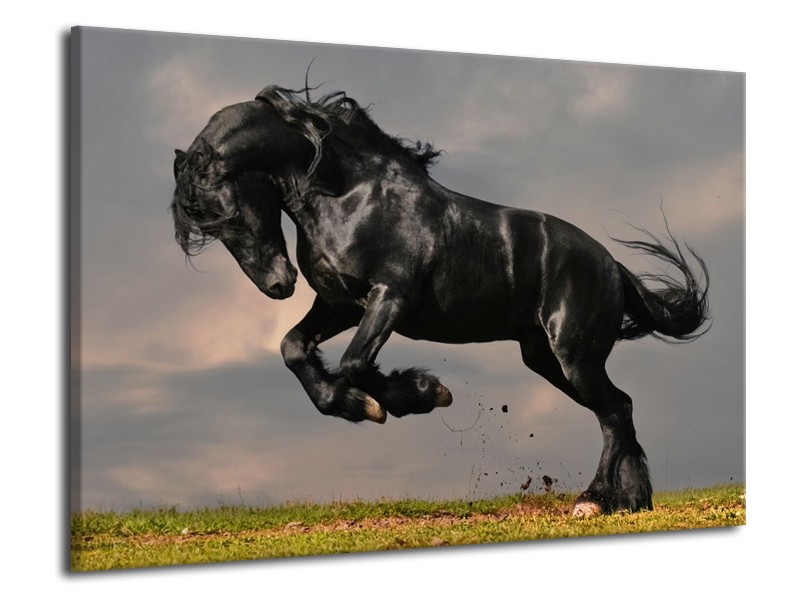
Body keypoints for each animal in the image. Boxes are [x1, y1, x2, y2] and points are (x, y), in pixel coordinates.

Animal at [171, 85, 710, 516]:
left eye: (229, 214)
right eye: (209, 228)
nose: (279, 285)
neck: (349, 195)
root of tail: (612, 266)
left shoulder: (389, 297)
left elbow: (353, 363)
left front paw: (420, 394)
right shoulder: (340, 304)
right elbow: (294, 349)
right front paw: (357, 405)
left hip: (574, 356)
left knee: (615, 412)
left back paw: (594, 501)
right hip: (547, 359)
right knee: (620, 409)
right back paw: (631, 501)